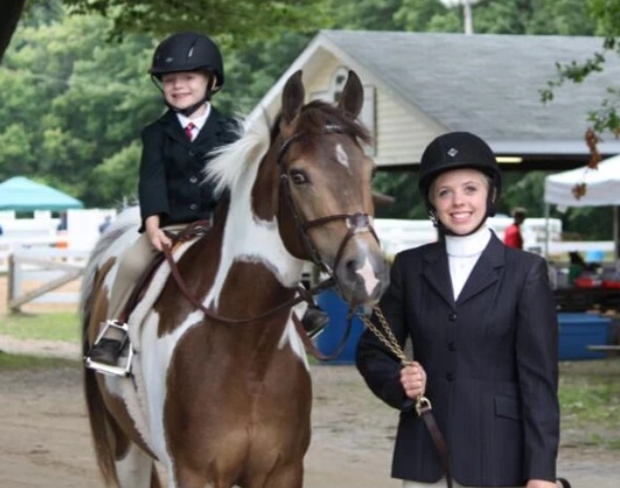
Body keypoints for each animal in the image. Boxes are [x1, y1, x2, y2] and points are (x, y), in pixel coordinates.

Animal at [77, 69, 388, 488]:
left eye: (370, 172)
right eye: (299, 176)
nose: (367, 272)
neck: (248, 346)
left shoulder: (283, 472)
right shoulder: (192, 473)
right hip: (126, 447)